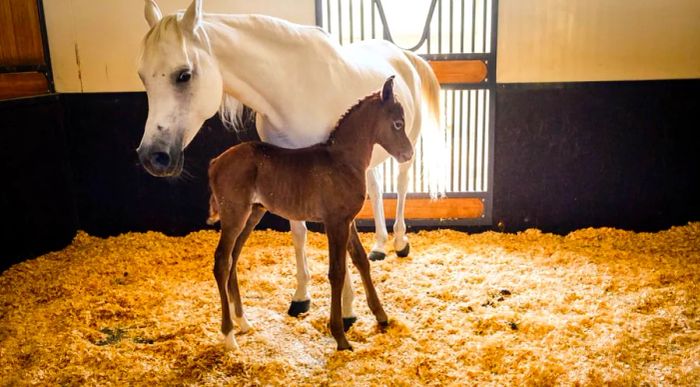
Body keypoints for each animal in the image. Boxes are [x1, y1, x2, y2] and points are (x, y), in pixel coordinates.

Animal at [208, 76, 416, 352]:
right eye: (398, 123)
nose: (408, 154)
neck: (343, 160)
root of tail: (215, 162)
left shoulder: (347, 221)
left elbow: (360, 260)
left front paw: (381, 317)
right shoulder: (335, 222)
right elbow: (337, 272)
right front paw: (340, 337)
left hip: (252, 214)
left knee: (234, 257)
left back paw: (243, 322)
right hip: (234, 215)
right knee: (222, 261)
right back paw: (229, 336)